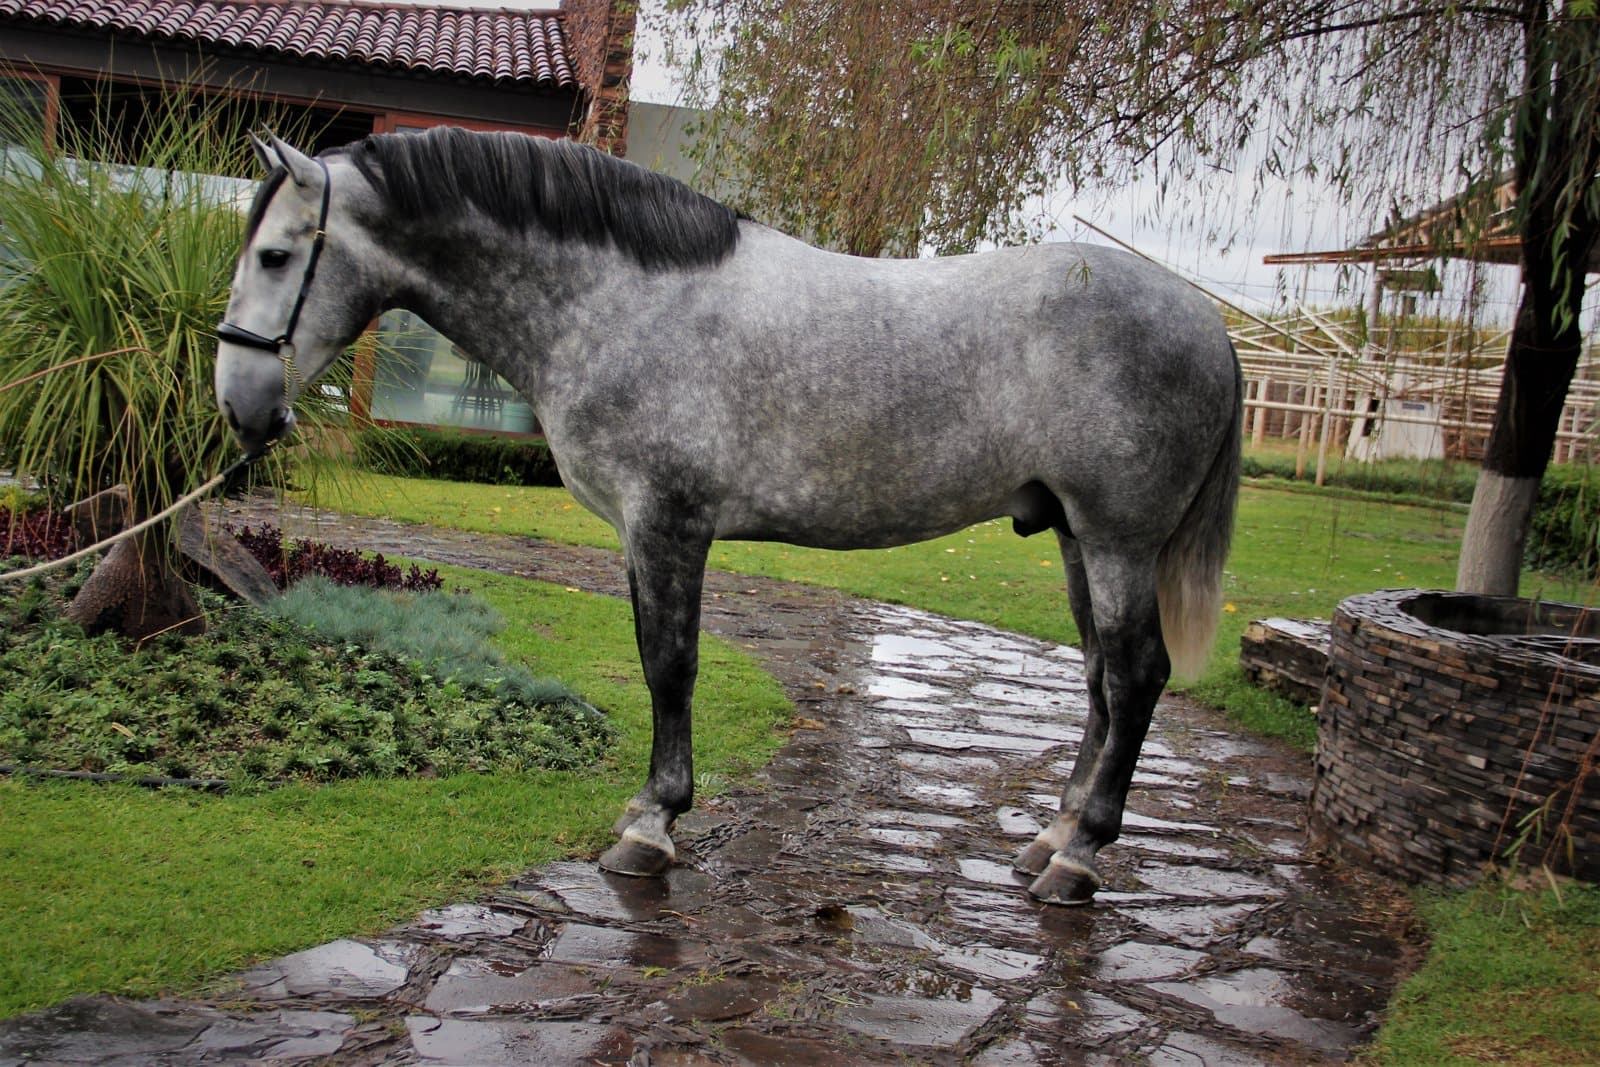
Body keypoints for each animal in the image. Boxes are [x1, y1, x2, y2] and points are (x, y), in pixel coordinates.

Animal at [215, 128, 1241, 906]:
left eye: (275, 255)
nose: (239, 405)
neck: (619, 302)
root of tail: (1210, 324)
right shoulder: (641, 533)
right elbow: (654, 659)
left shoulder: (668, 522)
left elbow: (670, 667)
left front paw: (652, 826)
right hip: (1074, 536)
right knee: (1101, 680)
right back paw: (1053, 836)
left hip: (1117, 540)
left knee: (1137, 676)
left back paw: (1080, 857)